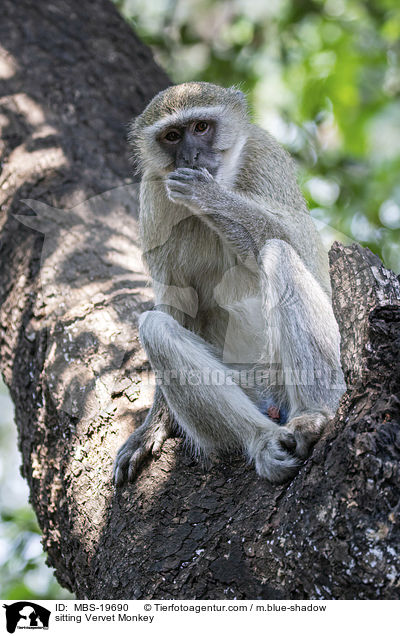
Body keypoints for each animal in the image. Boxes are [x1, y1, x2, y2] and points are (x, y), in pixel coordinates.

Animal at [114, 82, 346, 484]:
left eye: (201, 127)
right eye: (172, 136)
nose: (190, 156)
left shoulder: (266, 154)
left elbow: (301, 247)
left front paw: (210, 198)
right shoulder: (153, 196)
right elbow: (176, 305)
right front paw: (152, 426)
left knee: (279, 252)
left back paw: (313, 415)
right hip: (249, 387)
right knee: (156, 327)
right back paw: (262, 441)